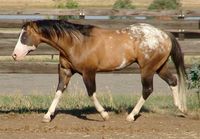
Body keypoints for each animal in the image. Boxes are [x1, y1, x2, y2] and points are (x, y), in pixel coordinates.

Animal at [11, 19, 187, 122]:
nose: (14, 55)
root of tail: (164, 34)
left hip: (147, 68)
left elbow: (91, 93)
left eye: (24, 36)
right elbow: (58, 92)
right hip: (159, 67)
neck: (76, 43)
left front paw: (104, 115)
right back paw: (181, 109)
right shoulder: (66, 71)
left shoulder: (88, 72)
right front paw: (47, 116)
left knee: (147, 89)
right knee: (173, 81)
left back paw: (131, 116)